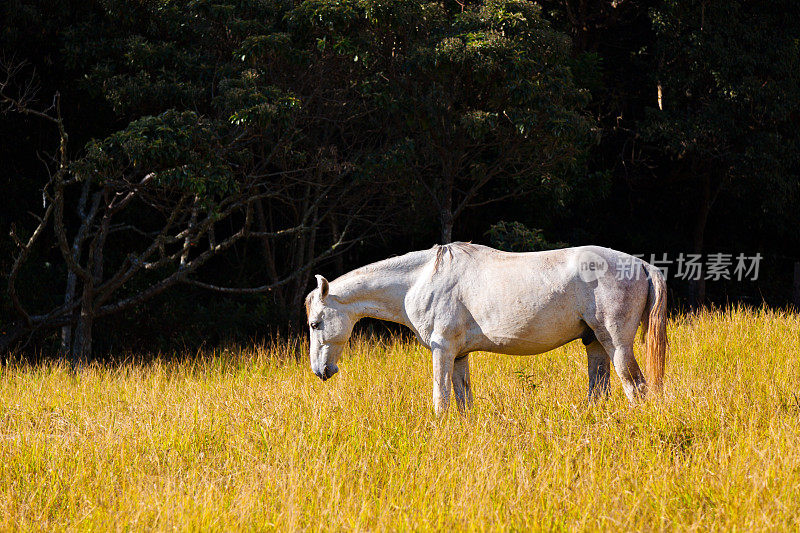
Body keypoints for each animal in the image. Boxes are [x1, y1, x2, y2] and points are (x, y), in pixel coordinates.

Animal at [304, 242, 664, 416]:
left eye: (315, 323)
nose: (321, 371)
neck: (419, 280)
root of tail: (643, 265)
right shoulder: (460, 356)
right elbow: (463, 399)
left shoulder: (443, 350)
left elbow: (441, 398)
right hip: (595, 344)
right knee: (599, 390)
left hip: (616, 344)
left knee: (635, 386)